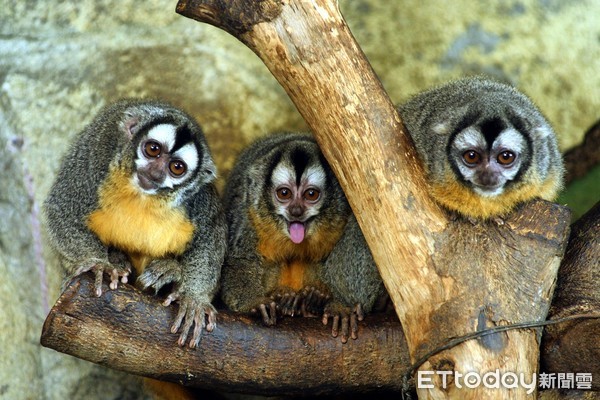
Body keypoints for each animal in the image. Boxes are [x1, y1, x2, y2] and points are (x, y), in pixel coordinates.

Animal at [44, 99, 226, 346]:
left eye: (177, 167)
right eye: (153, 149)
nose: (155, 173)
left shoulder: (198, 198)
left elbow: (211, 233)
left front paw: (193, 298)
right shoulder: (95, 160)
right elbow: (62, 208)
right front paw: (99, 263)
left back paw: (168, 271)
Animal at [221, 132, 390, 344]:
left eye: (311, 194)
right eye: (284, 193)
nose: (296, 211)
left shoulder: (346, 208)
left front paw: (340, 305)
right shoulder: (250, 211)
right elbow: (241, 258)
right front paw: (255, 302)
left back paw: (309, 301)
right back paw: (285, 298)